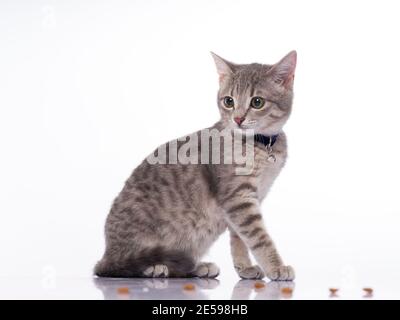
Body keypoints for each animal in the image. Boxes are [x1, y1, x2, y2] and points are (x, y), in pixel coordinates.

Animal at [95, 50, 296, 280]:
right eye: (229, 101)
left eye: (257, 102)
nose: (237, 119)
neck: (260, 145)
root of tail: (106, 253)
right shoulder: (238, 198)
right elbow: (258, 237)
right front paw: (276, 267)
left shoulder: (247, 200)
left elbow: (239, 238)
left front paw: (244, 267)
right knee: (121, 265)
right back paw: (154, 267)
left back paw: (197, 267)